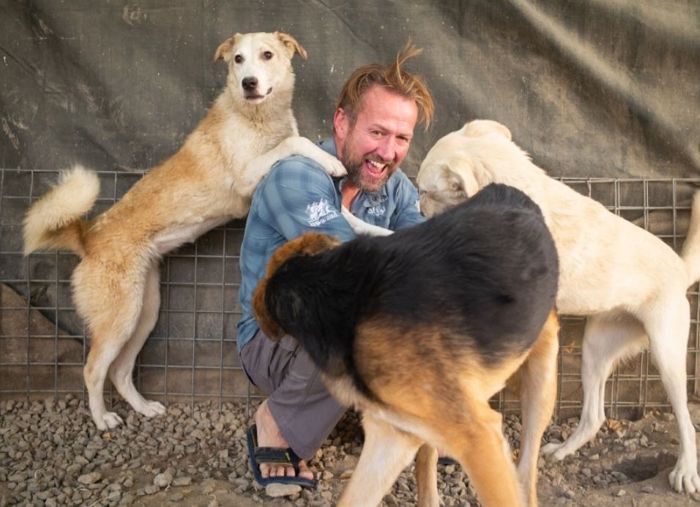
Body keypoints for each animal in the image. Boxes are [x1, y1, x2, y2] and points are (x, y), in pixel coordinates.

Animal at [23, 29, 346, 430]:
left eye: (267, 55)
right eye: (237, 59)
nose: (248, 83)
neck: (256, 117)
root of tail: (89, 237)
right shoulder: (245, 179)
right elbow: (295, 142)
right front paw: (332, 162)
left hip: (144, 313)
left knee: (120, 371)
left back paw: (144, 408)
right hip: (118, 320)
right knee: (93, 370)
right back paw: (103, 420)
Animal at [254, 185, 560, 506]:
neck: (336, 299)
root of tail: (506, 189)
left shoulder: (478, 437)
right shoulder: (391, 435)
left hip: (540, 384)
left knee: (526, 472)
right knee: (427, 459)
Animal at [412, 118, 700, 492]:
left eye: (424, 191)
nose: (417, 209)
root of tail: (680, 268)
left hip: (667, 355)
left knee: (685, 418)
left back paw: (686, 470)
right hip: (595, 350)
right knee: (594, 416)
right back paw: (563, 450)